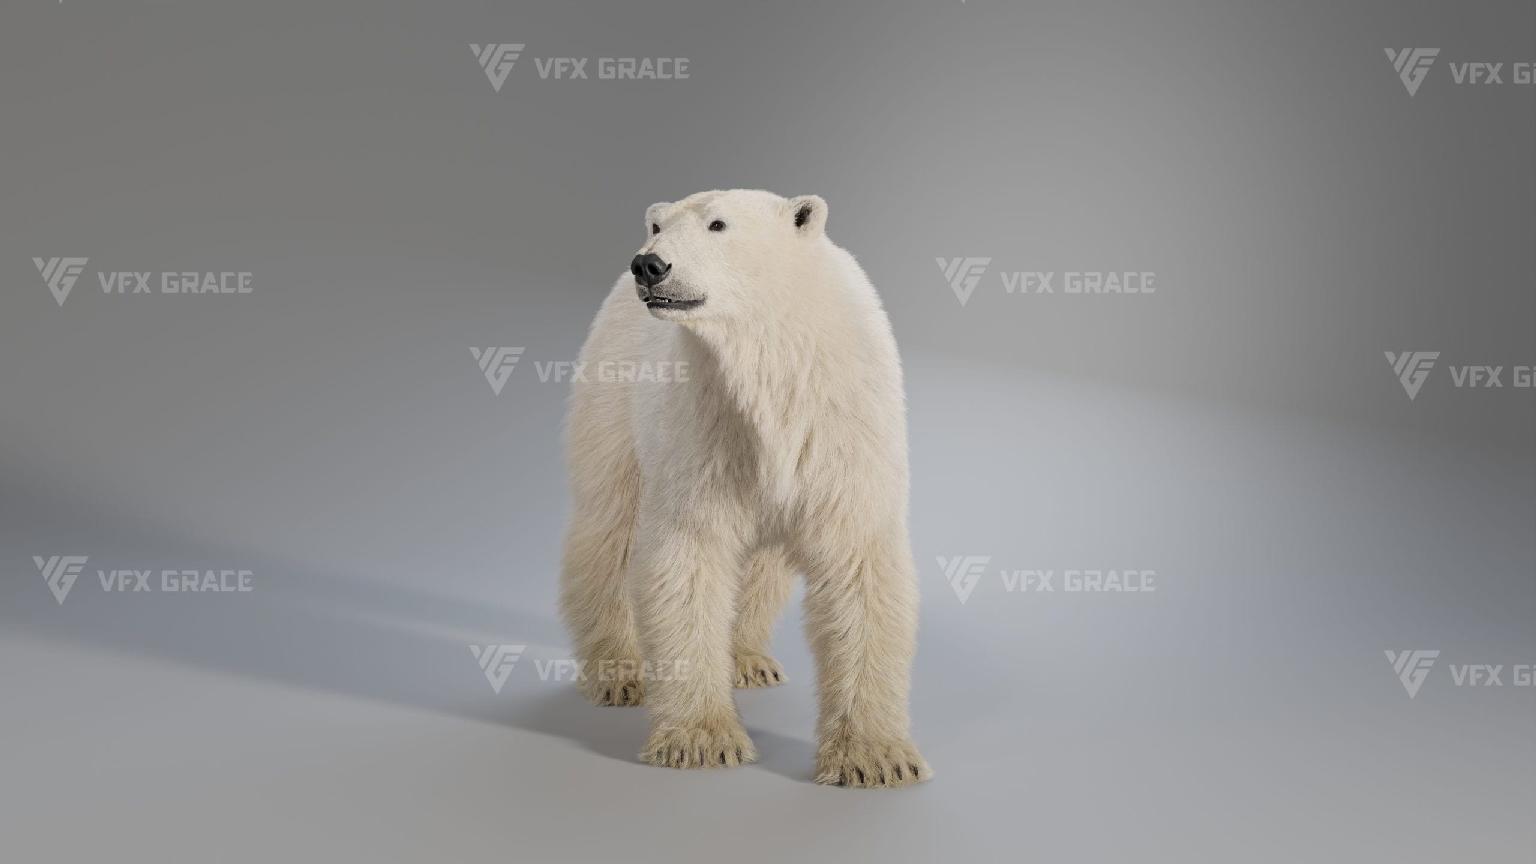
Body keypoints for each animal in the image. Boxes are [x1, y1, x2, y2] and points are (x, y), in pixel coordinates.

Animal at [558, 189, 930, 788]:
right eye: (659, 226)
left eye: (718, 224)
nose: (648, 265)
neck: (773, 360)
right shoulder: (704, 414)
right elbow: (689, 558)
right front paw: (702, 740)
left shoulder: (840, 426)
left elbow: (856, 565)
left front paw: (876, 757)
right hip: (612, 391)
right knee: (610, 526)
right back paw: (618, 672)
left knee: (761, 563)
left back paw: (747, 659)